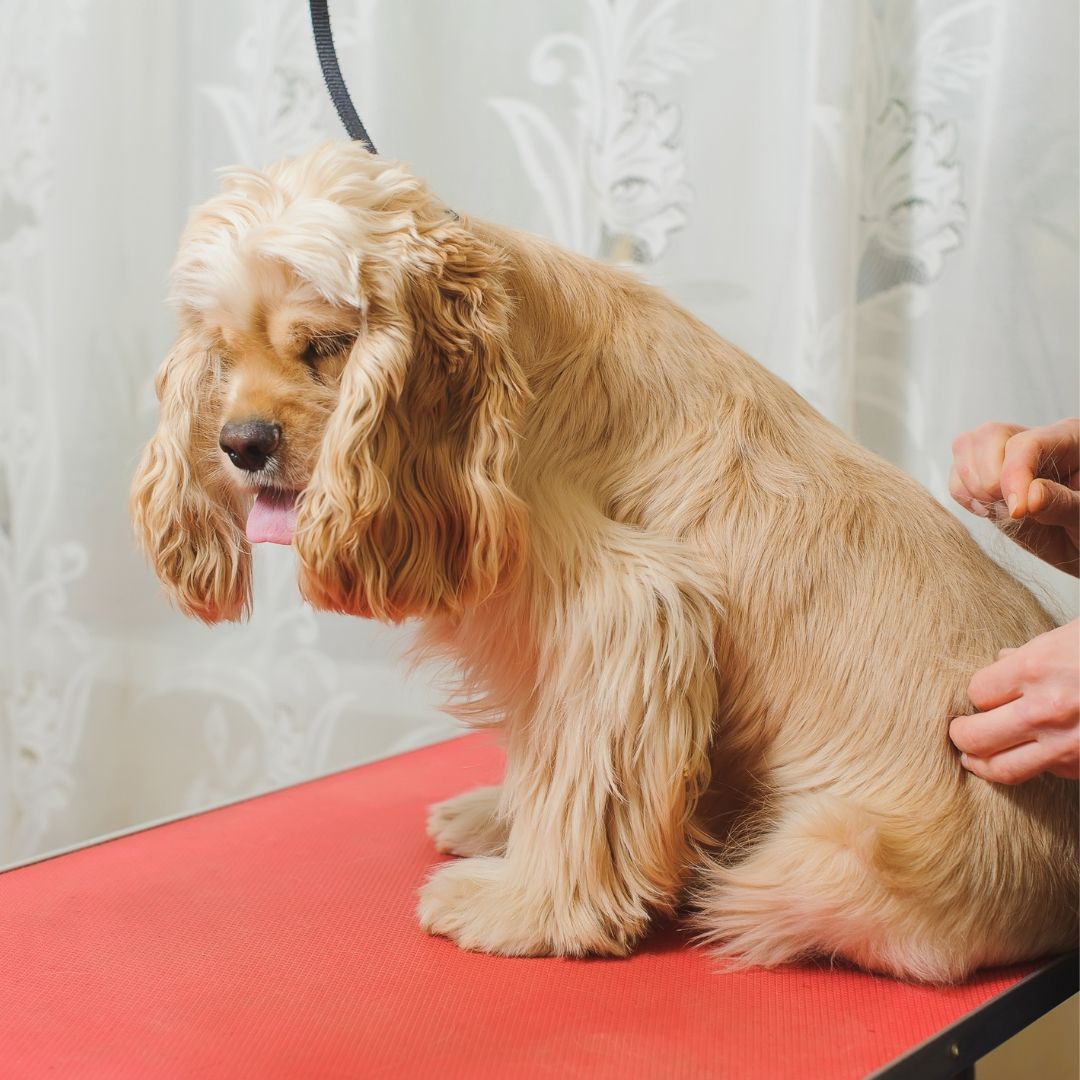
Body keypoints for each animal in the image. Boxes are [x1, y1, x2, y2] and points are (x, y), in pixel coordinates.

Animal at [130, 139, 1075, 984]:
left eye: (325, 344)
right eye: (222, 350)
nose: (241, 443)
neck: (483, 363)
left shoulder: (627, 612)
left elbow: (579, 776)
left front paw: (525, 909)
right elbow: (544, 757)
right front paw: (499, 821)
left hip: (827, 859)